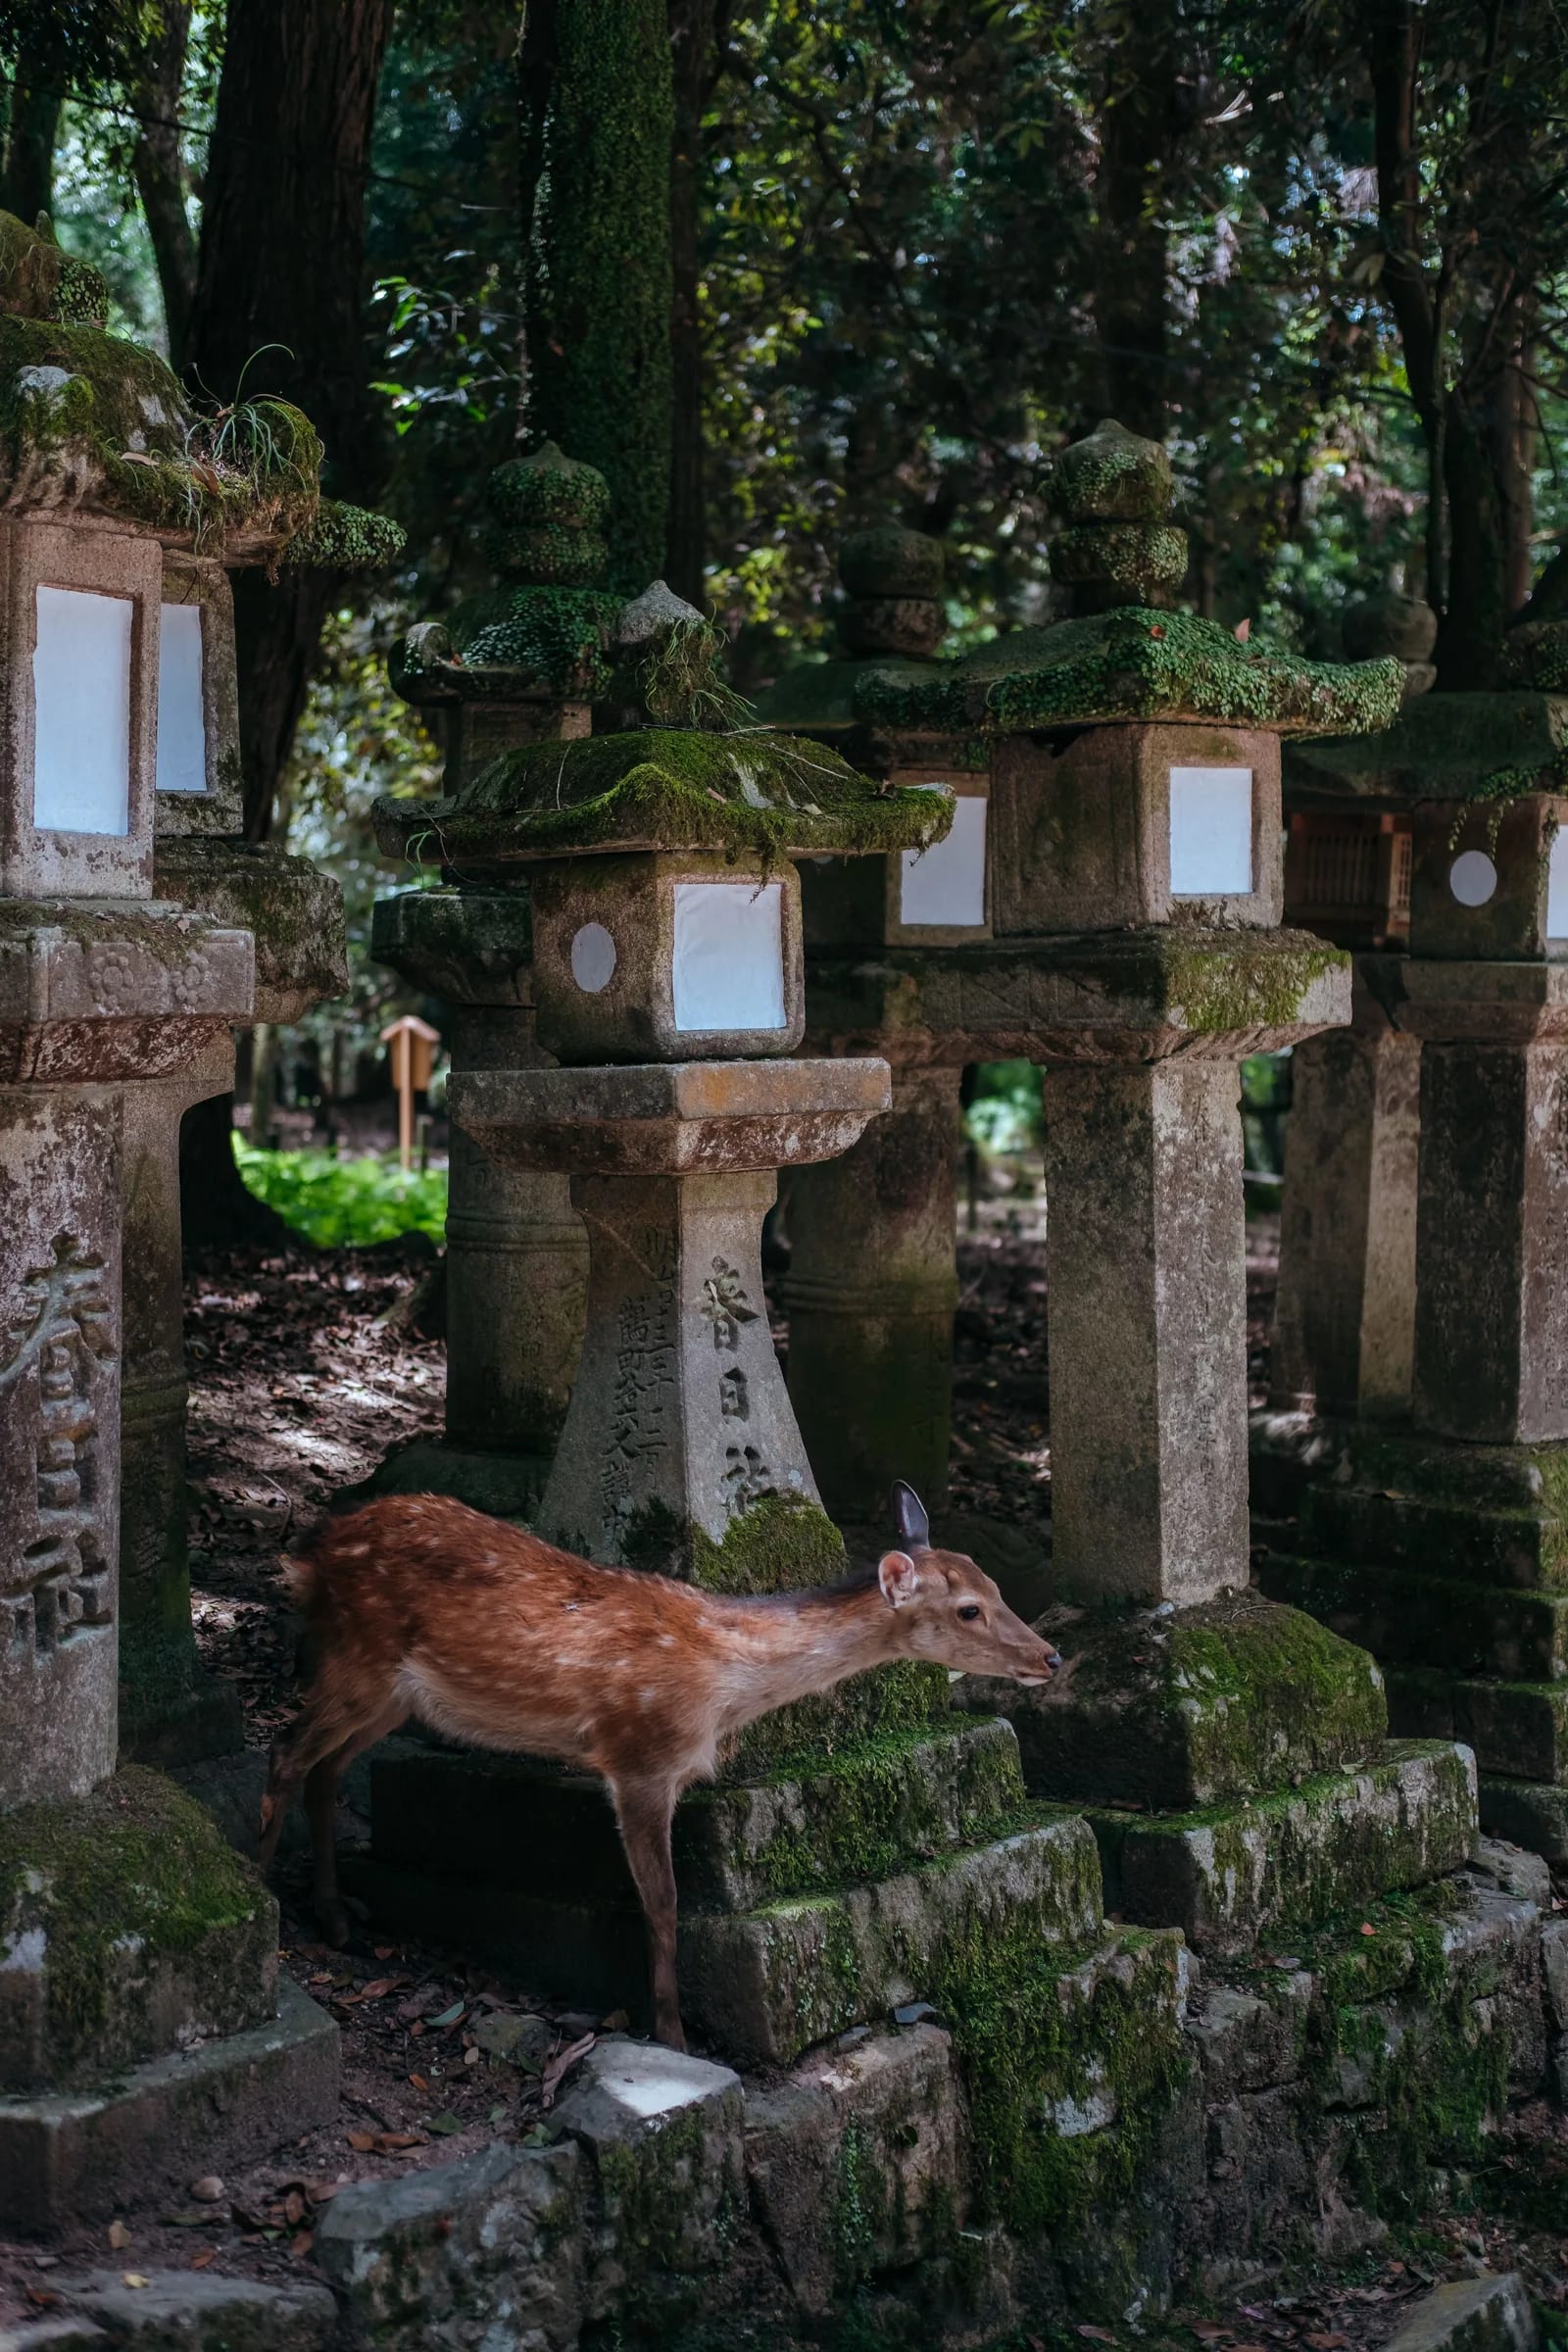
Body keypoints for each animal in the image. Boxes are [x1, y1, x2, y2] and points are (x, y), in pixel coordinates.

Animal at [257, 1480, 1059, 2051]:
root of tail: (310, 1556)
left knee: (323, 1771)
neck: (723, 1687)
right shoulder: (640, 1754)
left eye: (995, 1586)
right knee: (284, 1756)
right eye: (967, 1609)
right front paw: (674, 2036)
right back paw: (267, 1906)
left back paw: (337, 1915)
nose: (1049, 1656)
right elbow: (665, 1903)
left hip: (392, 1695)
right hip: (359, 1660)